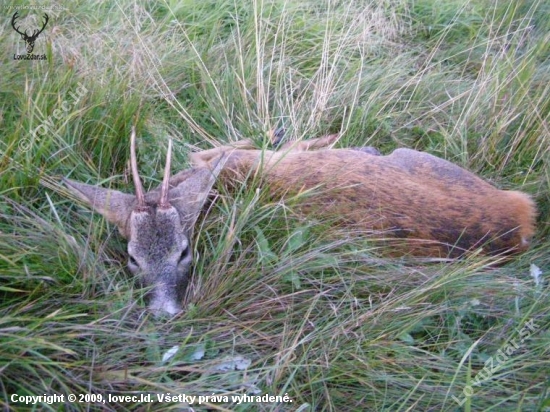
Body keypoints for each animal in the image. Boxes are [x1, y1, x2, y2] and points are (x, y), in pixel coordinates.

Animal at [62, 131, 536, 316]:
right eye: (132, 259)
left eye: (184, 252)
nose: (165, 312)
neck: (230, 192)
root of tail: (521, 217)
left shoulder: (243, 161)